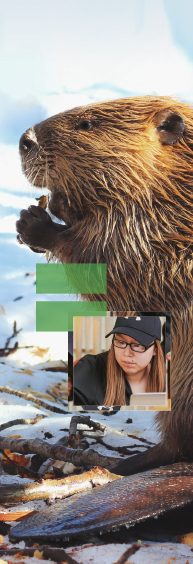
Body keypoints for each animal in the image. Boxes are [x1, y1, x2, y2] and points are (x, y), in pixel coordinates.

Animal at [16, 96, 193, 472]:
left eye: (87, 125)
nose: (25, 140)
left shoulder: (154, 234)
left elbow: (111, 265)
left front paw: (34, 222)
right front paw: (50, 205)